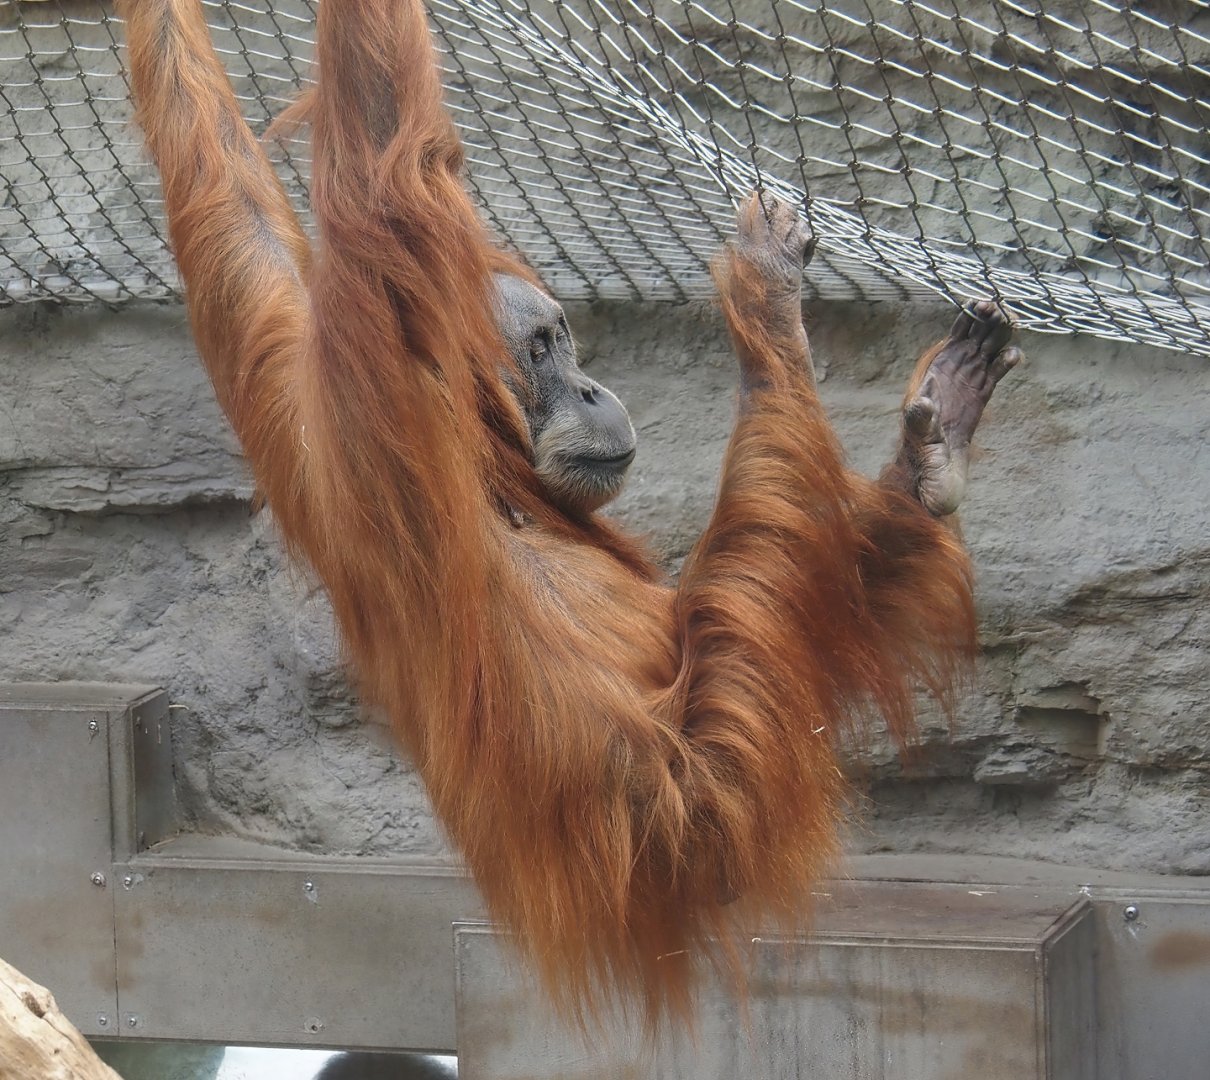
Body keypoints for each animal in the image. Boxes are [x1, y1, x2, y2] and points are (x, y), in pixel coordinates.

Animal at [117, 0, 1018, 1024]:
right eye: (544, 347)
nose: (590, 386)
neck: (492, 466)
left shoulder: (298, 389)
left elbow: (238, 216)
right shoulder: (383, 360)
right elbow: (389, 164)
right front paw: (768, 289)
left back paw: (928, 459)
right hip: (715, 802)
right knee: (758, 574)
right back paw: (767, 317)